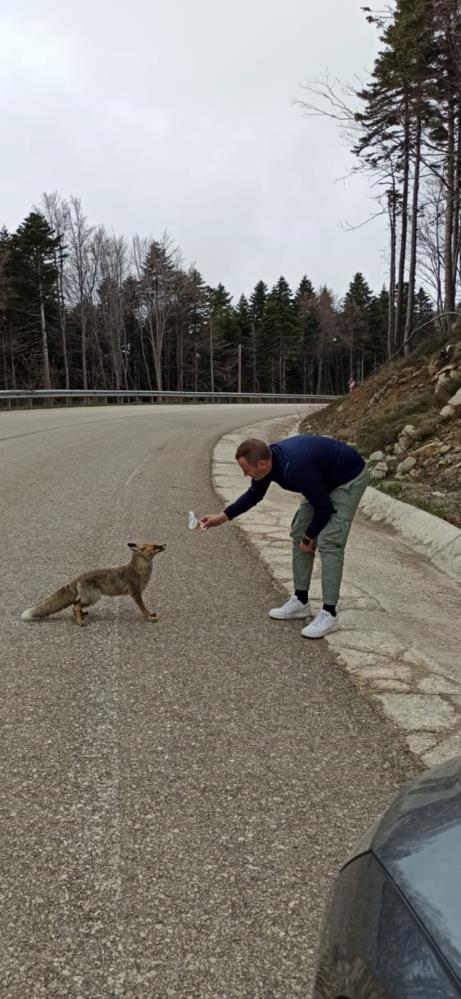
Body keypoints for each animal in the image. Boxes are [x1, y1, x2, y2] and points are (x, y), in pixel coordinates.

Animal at [22, 544, 165, 628]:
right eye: (154, 547)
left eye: (156, 543)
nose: (164, 545)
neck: (140, 571)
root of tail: (77, 577)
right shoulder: (135, 593)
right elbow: (143, 608)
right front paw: (149, 618)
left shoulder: (137, 593)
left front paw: (150, 614)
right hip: (94, 597)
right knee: (75, 606)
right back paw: (80, 621)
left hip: (90, 598)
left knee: (75, 604)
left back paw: (82, 614)